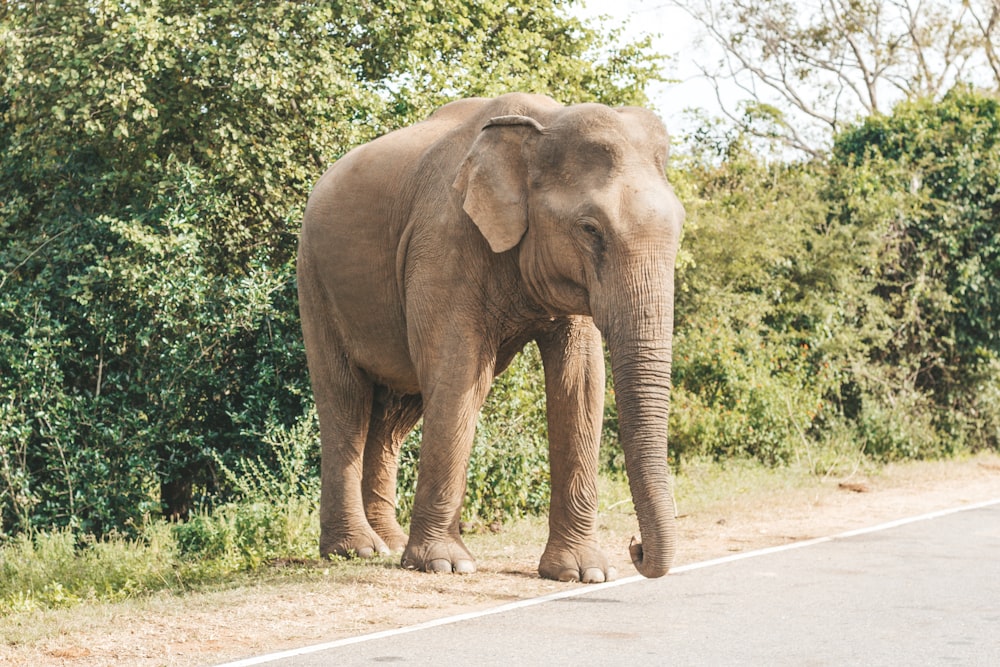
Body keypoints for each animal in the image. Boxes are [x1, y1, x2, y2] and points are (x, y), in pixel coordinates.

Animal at [296, 91, 684, 580]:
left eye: (679, 227)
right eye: (590, 229)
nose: (635, 547)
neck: (542, 125)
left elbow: (580, 384)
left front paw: (582, 573)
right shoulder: (443, 240)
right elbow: (460, 374)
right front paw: (444, 564)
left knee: (394, 415)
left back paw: (389, 542)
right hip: (315, 280)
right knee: (346, 401)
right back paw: (358, 551)